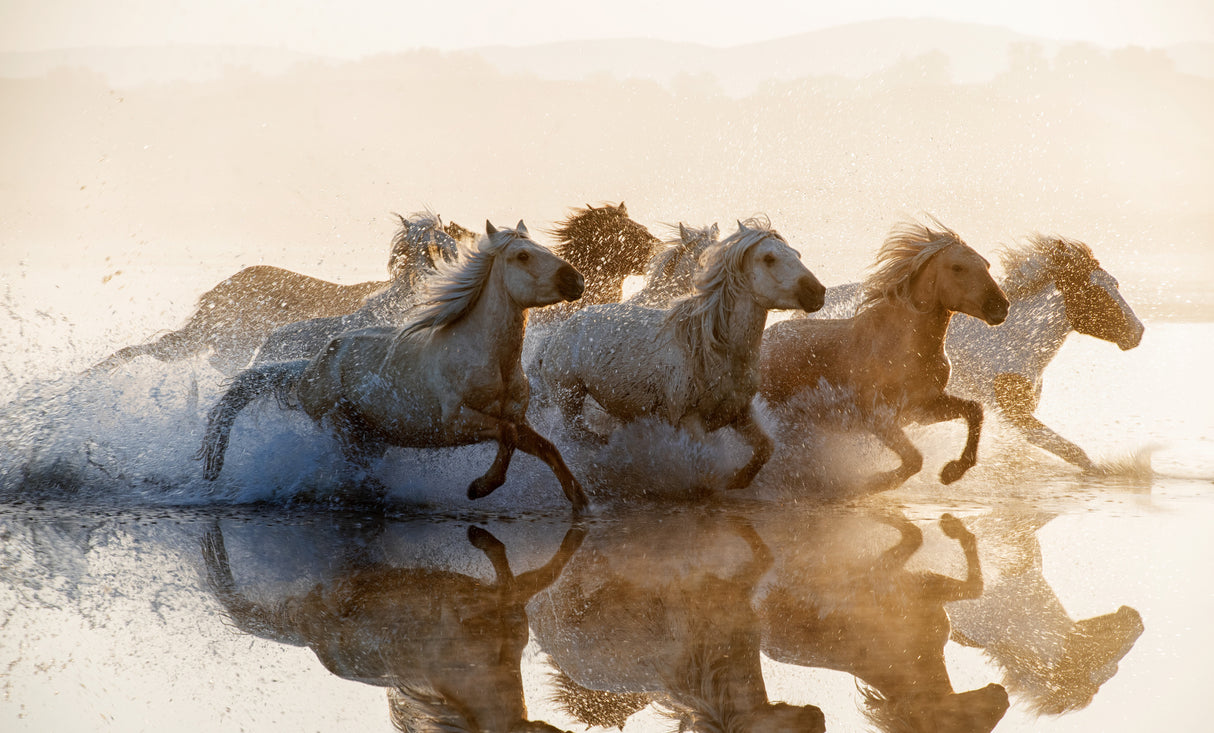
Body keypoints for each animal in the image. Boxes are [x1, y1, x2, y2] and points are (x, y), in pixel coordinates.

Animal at [536, 218, 825, 492]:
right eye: (769, 258)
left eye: (797, 254)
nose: (817, 292)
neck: (712, 350)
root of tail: (568, 323)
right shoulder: (689, 420)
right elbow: (708, 471)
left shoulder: (739, 412)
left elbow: (765, 448)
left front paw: (737, 480)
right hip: (570, 396)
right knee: (577, 433)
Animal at [760, 218, 1009, 492]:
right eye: (957, 267)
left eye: (986, 265)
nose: (1000, 306)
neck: (906, 349)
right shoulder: (877, 417)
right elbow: (914, 459)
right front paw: (875, 481)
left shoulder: (922, 408)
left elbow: (974, 410)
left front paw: (953, 471)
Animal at [810, 234, 1143, 471]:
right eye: (1095, 293)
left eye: (1115, 284)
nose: (1138, 332)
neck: (1014, 344)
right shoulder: (1016, 414)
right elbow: (1073, 451)